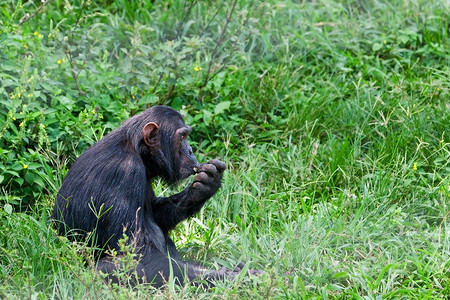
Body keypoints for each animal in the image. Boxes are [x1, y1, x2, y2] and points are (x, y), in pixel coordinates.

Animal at [51, 105, 255, 286]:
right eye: (182, 137)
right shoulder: (126, 173)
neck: (137, 150)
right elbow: (138, 254)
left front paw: (206, 185)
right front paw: (236, 277)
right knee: (112, 267)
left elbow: (157, 214)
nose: (190, 150)